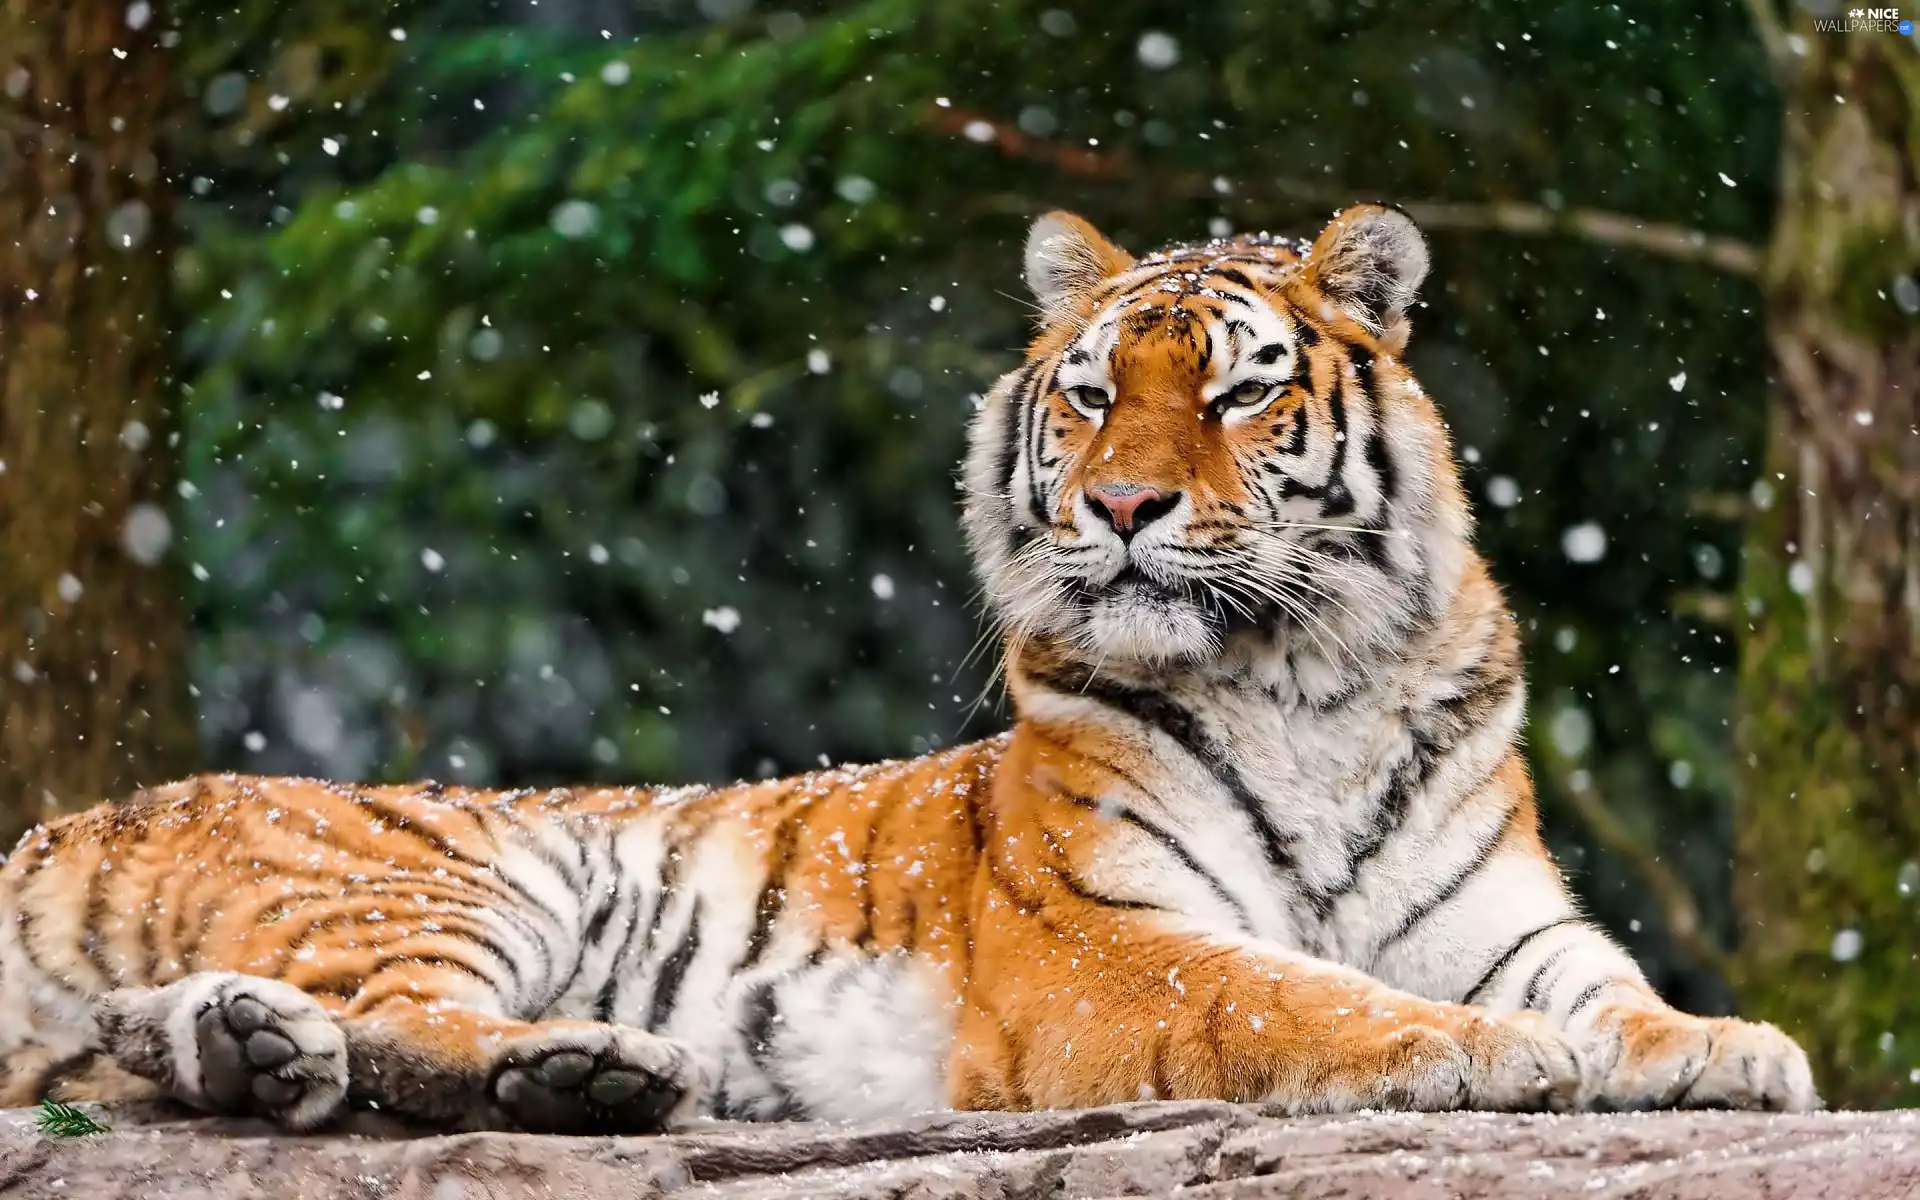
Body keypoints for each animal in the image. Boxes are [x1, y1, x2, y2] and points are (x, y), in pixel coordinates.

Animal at [0, 204, 1816, 1135]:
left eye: (1238, 392)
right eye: (1092, 392)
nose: (1125, 507)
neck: (1310, 681)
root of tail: (67, 821)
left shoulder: (1507, 917)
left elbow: (1611, 988)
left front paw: (1727, 1046)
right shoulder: (1105, 942)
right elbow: (1297, 993)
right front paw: (1482, 1053)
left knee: (209, 1037)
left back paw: (282, 1054)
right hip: (443, 872)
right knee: (391, 1024)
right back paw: (577, 1068)